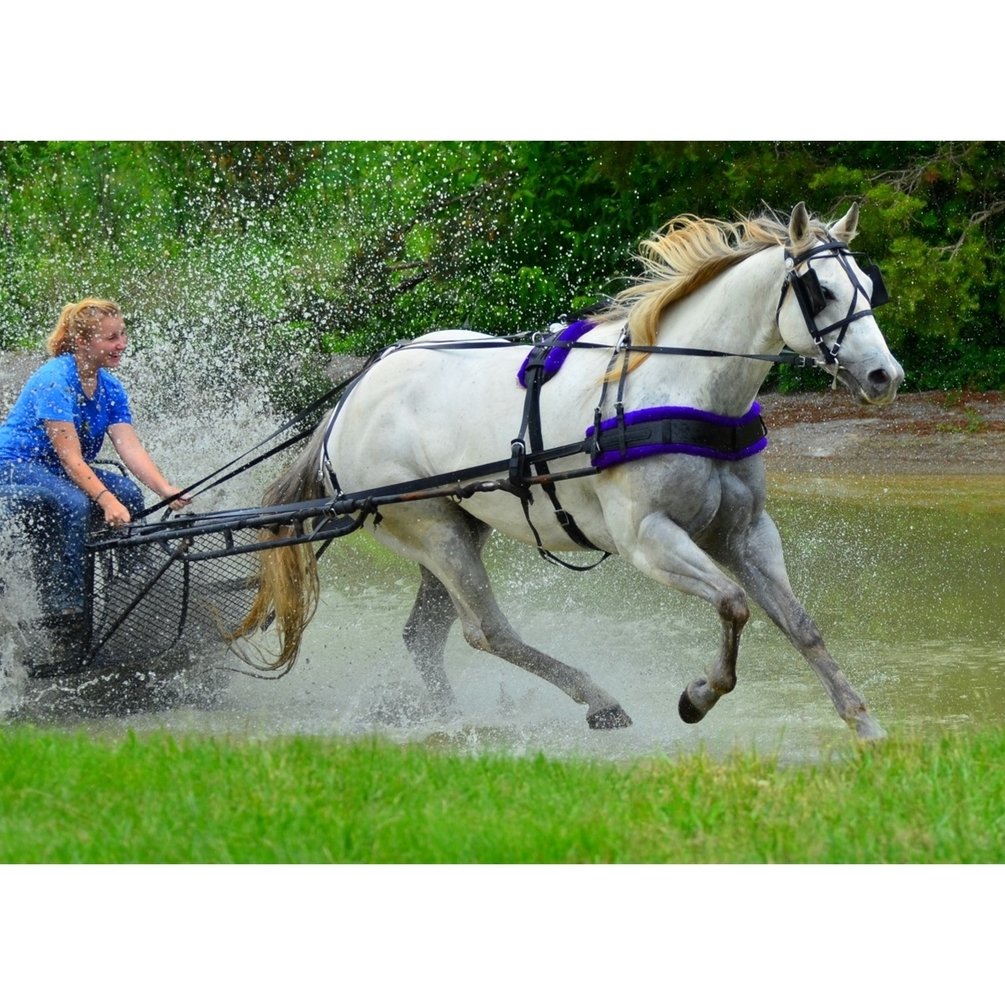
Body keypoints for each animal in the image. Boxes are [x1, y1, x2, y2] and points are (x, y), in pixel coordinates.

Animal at [238, 201, 904, 740]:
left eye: (869, 285)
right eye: (819, 290)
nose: (885, 376)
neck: (683, 386)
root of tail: (348, 402)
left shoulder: (745, 533)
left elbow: (801, 625)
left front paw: (863, 722)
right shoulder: (648, 539)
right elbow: (734, 603)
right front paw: (698, 696)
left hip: (458, 526)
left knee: (426, 636)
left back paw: (449, 717)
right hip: (434, 531)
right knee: (489, 632)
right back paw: (594, 698)